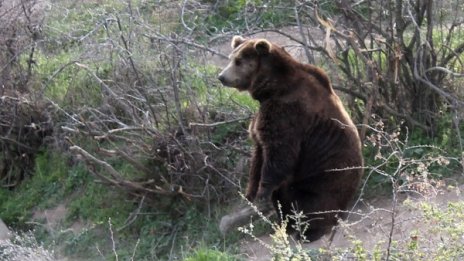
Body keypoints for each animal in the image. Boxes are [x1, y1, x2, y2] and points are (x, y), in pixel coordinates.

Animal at [219, 36, 364, 240]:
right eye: (231, 58)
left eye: (238, 61)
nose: (222, 77)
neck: (272, 88)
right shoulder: (264, 118)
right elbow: (258, 156)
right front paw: (250, 193)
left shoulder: (287, 113)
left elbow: (279, 154)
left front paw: (262, 194)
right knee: (284, 198)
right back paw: (286, 226)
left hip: (323, 180)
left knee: (315, 204)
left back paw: (310, 232)